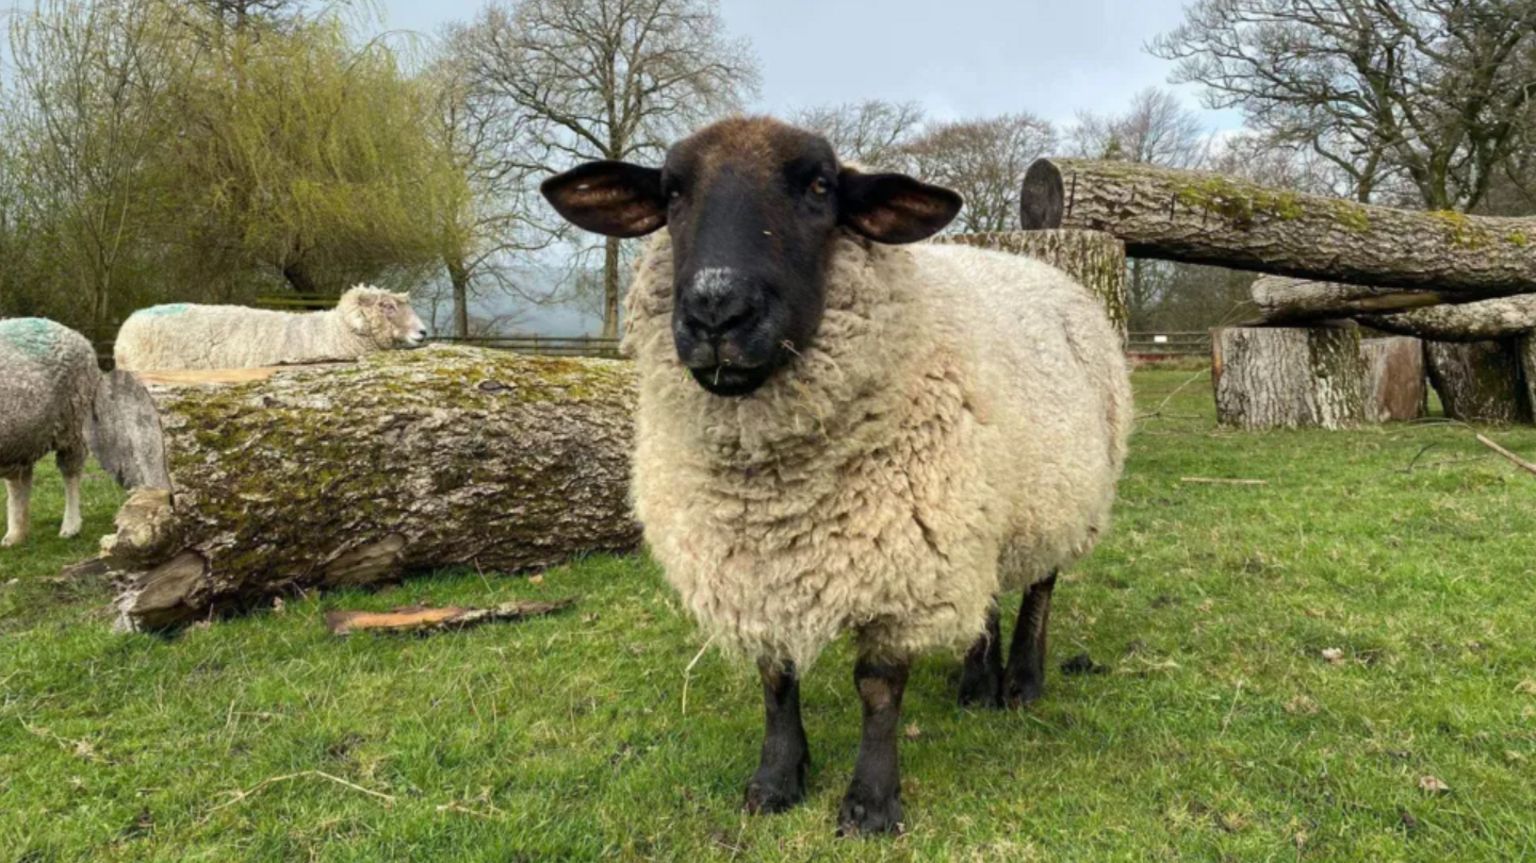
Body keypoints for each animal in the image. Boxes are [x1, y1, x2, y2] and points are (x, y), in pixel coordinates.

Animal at [0, 316, 100, 543]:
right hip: (23, 436)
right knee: (20, 482)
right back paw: (16, 534)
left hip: (74, 423)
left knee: (71, 472)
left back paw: (70, 526)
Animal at [540, 115, 1130, 835]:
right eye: (672, 192)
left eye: (820, 187)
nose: (717, 312)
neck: (777, 497)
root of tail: (1037, 266)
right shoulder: (758, 569)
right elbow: (775, 677)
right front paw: (775, 780)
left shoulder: (904, 563)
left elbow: (877, 686)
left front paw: (871, 803)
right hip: (980, 506)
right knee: (987, 591)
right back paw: (974, 683)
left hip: (1062, 493)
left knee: (1041, 586)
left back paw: (1020, 681)